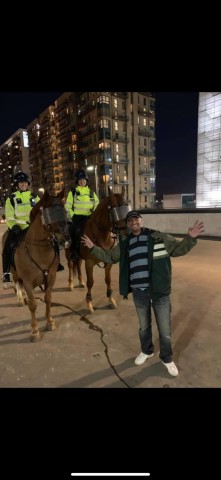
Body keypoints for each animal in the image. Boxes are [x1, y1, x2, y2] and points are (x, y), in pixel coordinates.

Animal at [1, 189, 70, 344]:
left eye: (64, 211)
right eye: (50, 214)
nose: (66, 238)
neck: (39, 250)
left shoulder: (51, 278)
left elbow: (48, 299)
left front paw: (50, 322)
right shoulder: (27, 281)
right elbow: (33, 305)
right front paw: (35, 331)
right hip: (14, 272)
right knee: (16, 283)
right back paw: (21, 299)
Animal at [65, 186, 131, 314]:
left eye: (125, 206)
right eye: (114, 209)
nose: (127, 231)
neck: (102, 234)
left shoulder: (108, 262)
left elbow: (108, 280)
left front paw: (111, 300)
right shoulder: (89, 263)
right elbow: (91, 282)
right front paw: (89, 303)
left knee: (78, 264)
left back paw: (80, 281)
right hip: (68, 253)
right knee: (70, 266)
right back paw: (70, 284)